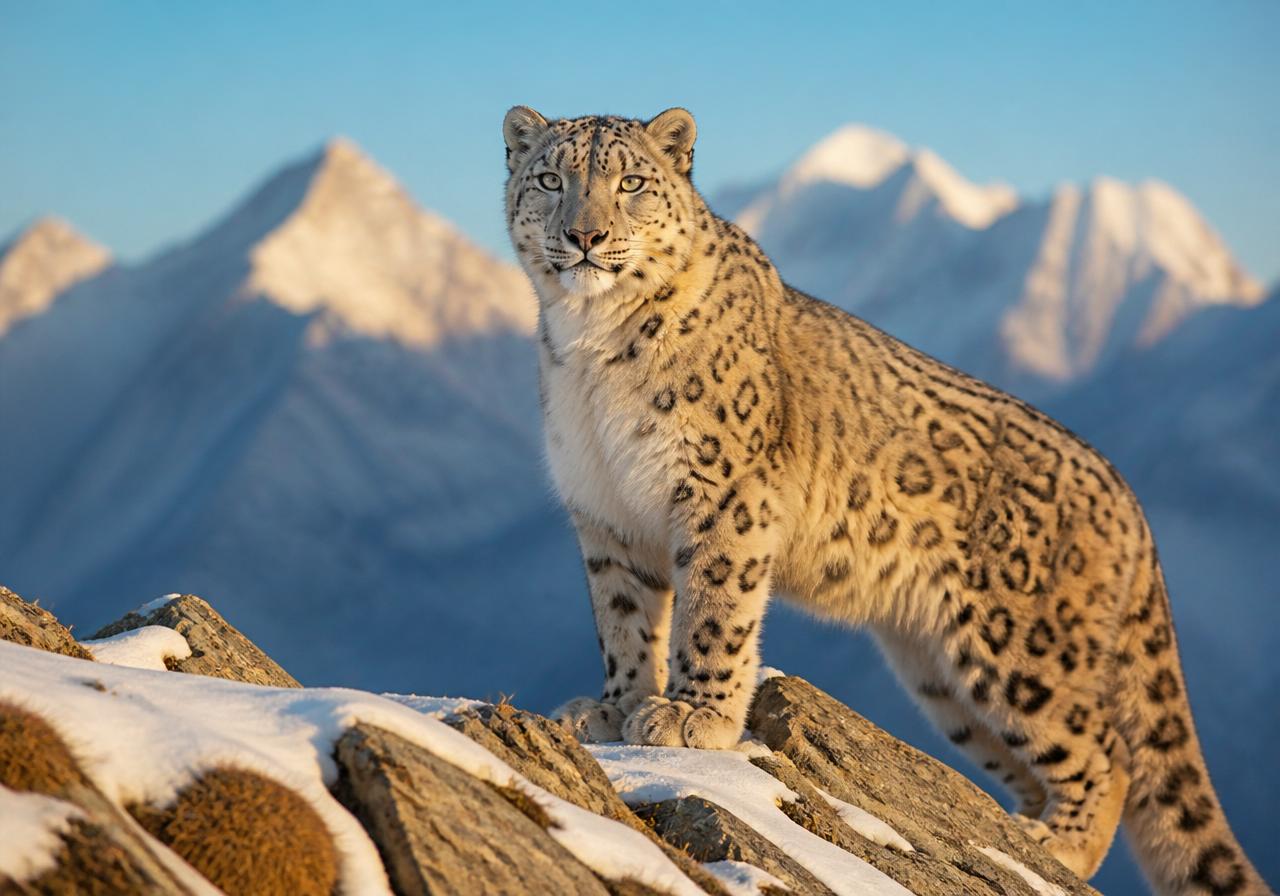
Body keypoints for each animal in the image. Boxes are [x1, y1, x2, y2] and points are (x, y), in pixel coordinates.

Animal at [502, 105, 1270, 895]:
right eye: (551, 179)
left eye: (630, 183)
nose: (585, 236)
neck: (590, 347)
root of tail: (1125, 492)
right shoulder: (607, 515)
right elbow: (624, 621)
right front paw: (615, 706)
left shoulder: (723, 497)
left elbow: (712, 612)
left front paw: (694, 719)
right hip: (942, 678)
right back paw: (1020, 832)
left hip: (1021, 647)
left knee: (1104, 754)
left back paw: (1055, 847)